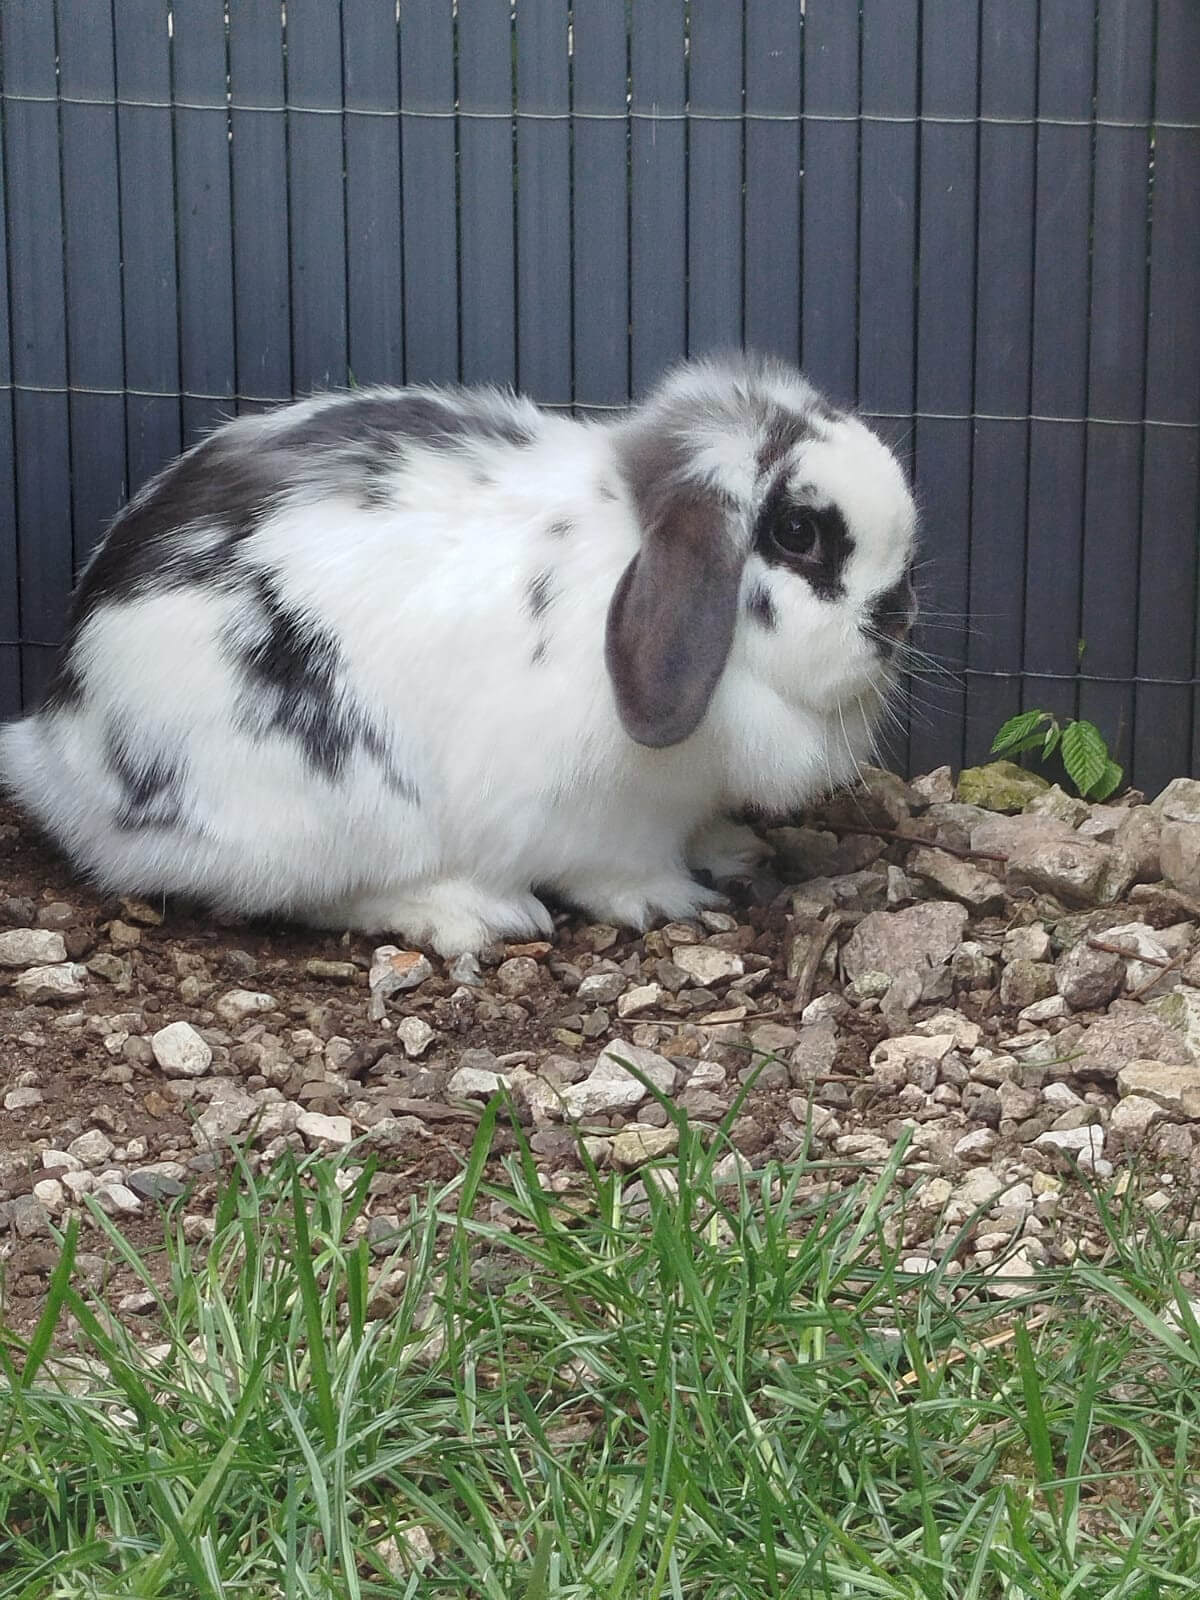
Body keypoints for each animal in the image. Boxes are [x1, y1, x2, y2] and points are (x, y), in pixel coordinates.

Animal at [0, 352, 917, 956]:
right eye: (797, 533)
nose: (896, 615)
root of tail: (60, 747)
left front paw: (732, 850)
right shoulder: (595, 815)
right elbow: (616, 868)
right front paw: (663, 900)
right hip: (323, 810)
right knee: (325, 895)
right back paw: (470, 913)